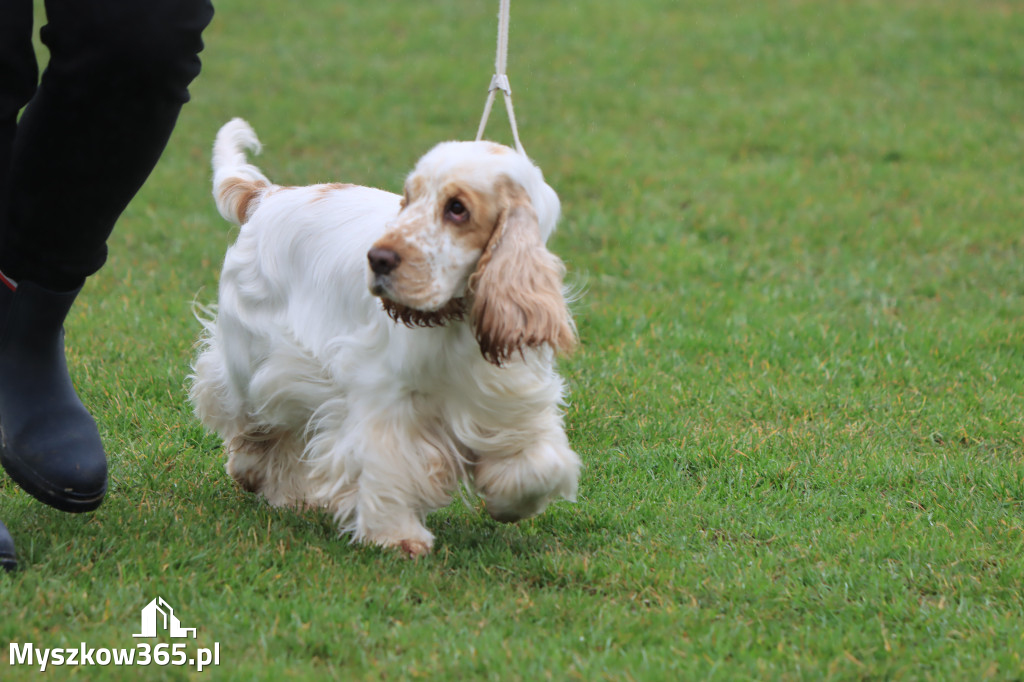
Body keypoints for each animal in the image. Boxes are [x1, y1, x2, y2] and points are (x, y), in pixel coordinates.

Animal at [188, 118, 581, 552]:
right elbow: (388, 464)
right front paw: (397, 536)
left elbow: (540, 466)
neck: (460, 320)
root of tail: (268, 195)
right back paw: (256, 473)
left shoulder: (510, 398)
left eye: (457, 208)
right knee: (246, 413)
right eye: (408, 199)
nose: (377, 259)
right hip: (258, 355)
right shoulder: (386, 396)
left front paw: (507, 503)